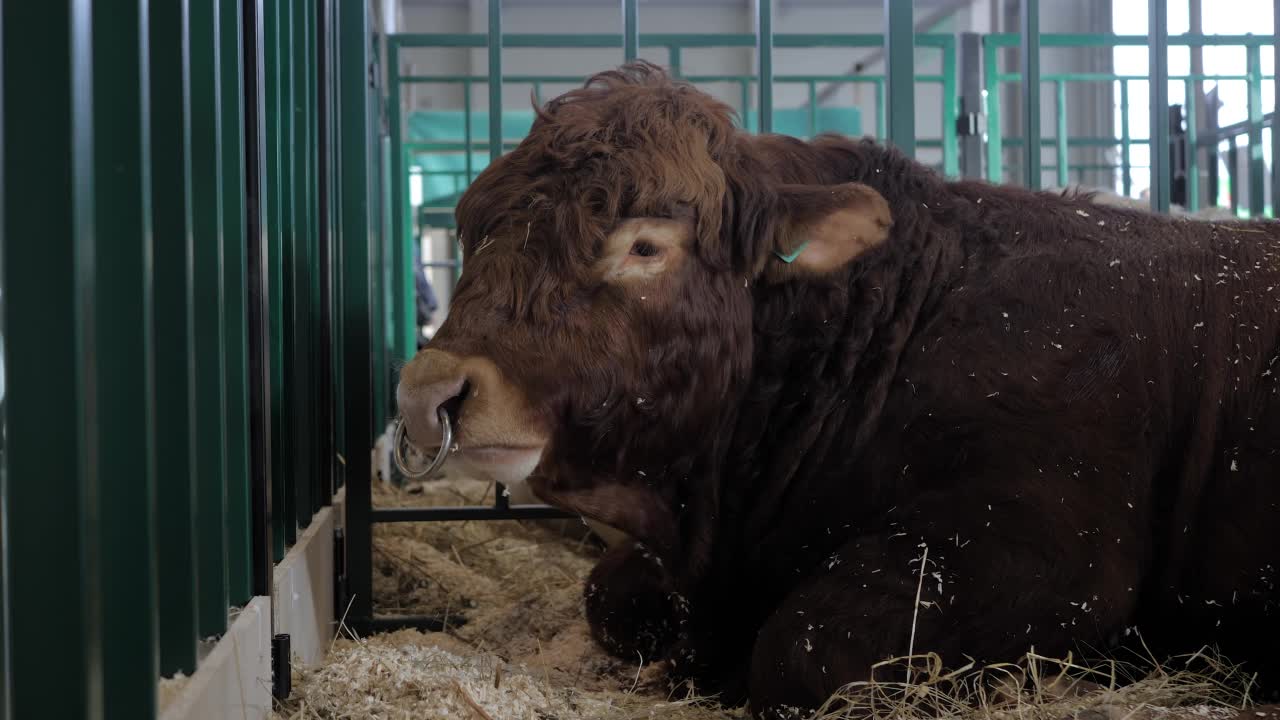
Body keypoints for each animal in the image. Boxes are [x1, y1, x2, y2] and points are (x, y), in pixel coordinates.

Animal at [394, 63, 1280, 717]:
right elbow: (608, 595)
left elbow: (799, 648)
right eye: (474, 231)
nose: (427, 392)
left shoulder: (1045, 549)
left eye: (645, 245)